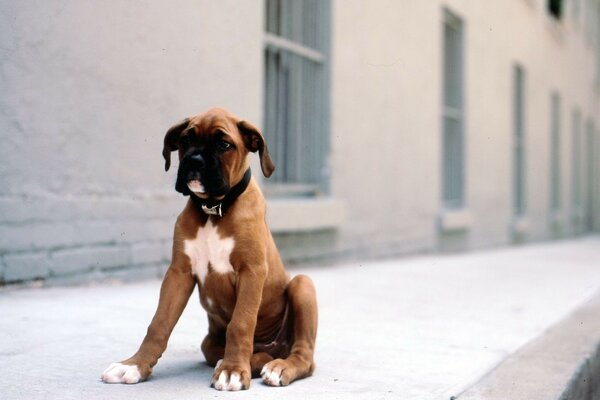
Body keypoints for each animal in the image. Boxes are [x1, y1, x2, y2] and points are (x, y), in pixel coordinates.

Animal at [99, 108, 318, 390]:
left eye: (224, 144)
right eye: (185, 140)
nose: (194, 160)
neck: (214, 210)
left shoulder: (252, 271)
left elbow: (241, 323)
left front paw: (233, 370)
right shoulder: (179, 273)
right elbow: (159, 324)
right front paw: (134, 365)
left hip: (302, 285)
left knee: (304, 356)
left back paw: (278, 367)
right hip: (209, 342)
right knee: (244, 352)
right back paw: (252, 361)